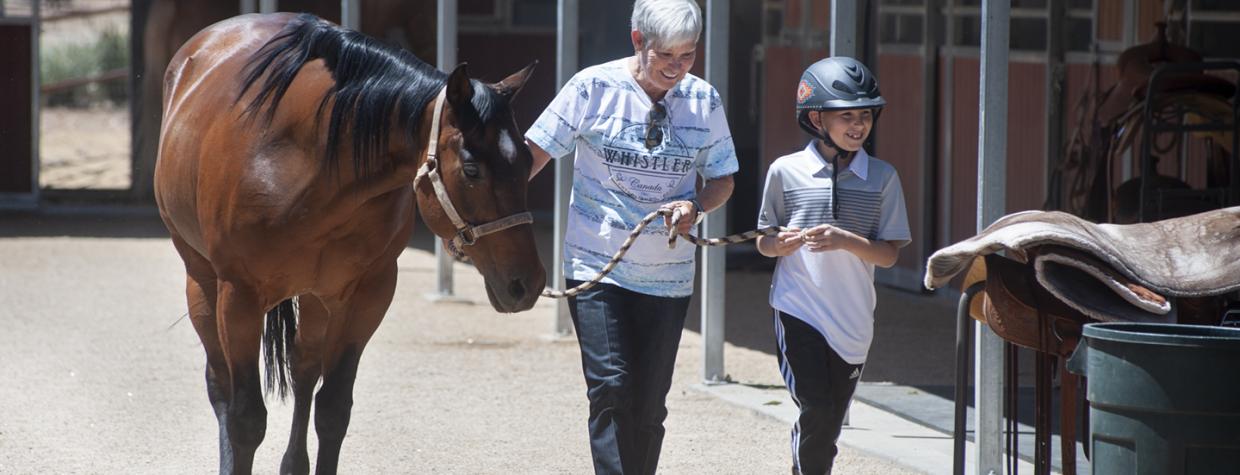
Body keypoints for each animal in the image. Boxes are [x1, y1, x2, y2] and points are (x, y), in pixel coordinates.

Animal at [152, 13, 545, 473]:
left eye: (527, 160)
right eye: (471, 169)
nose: (528, 283)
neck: (308, 164)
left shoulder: (366, 295)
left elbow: (333, 410)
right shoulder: (240, 298)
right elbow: (246, 418)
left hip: (316, 297)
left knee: (304, 368)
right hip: (201, 281)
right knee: (220, 387)